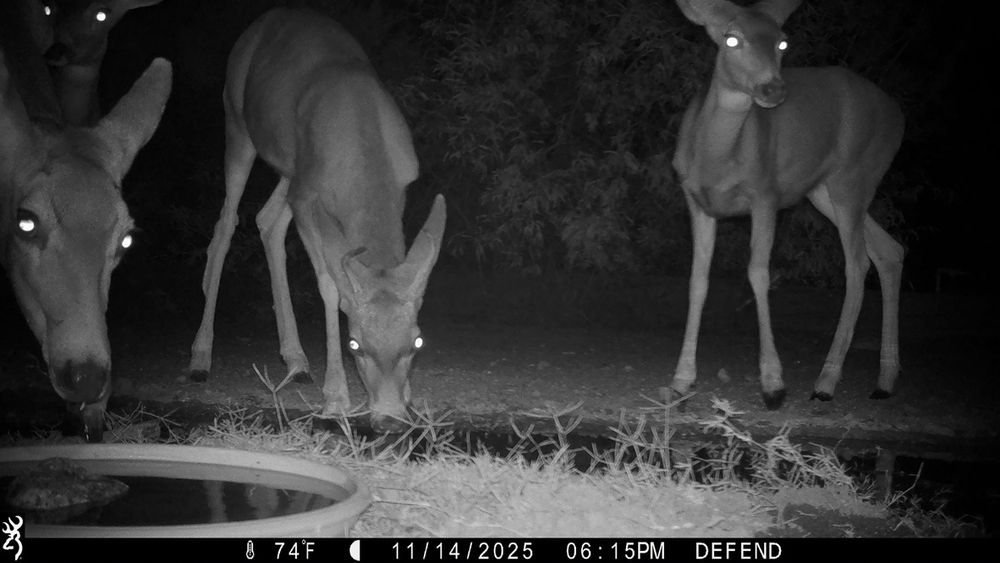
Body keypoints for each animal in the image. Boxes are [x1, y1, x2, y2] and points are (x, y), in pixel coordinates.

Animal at [188, 7, 447, 431]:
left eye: (417, 341)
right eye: (355, 344)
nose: (389, 419)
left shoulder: (397, 185)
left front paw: (408, 397)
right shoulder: (308, 195)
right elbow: (329, 286)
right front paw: (336, 398)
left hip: (289, 168)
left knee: (267, 220)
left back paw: (295, 360)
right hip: (239, 126)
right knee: (226, 223)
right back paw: (200, 356)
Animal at [667, 0, 905, 409]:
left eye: (782, 42)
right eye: (731, 39)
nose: (773, 88)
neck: (716, 158)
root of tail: (899, 116)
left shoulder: (766, 193)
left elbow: (759, 274)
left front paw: (773, 384)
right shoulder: (697, 201)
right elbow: (698, 280)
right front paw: (681, 381)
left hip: (854, 176)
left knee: (857, 263)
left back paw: (826, 381)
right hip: (825, 190)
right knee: (889, 250)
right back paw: (885, 380)